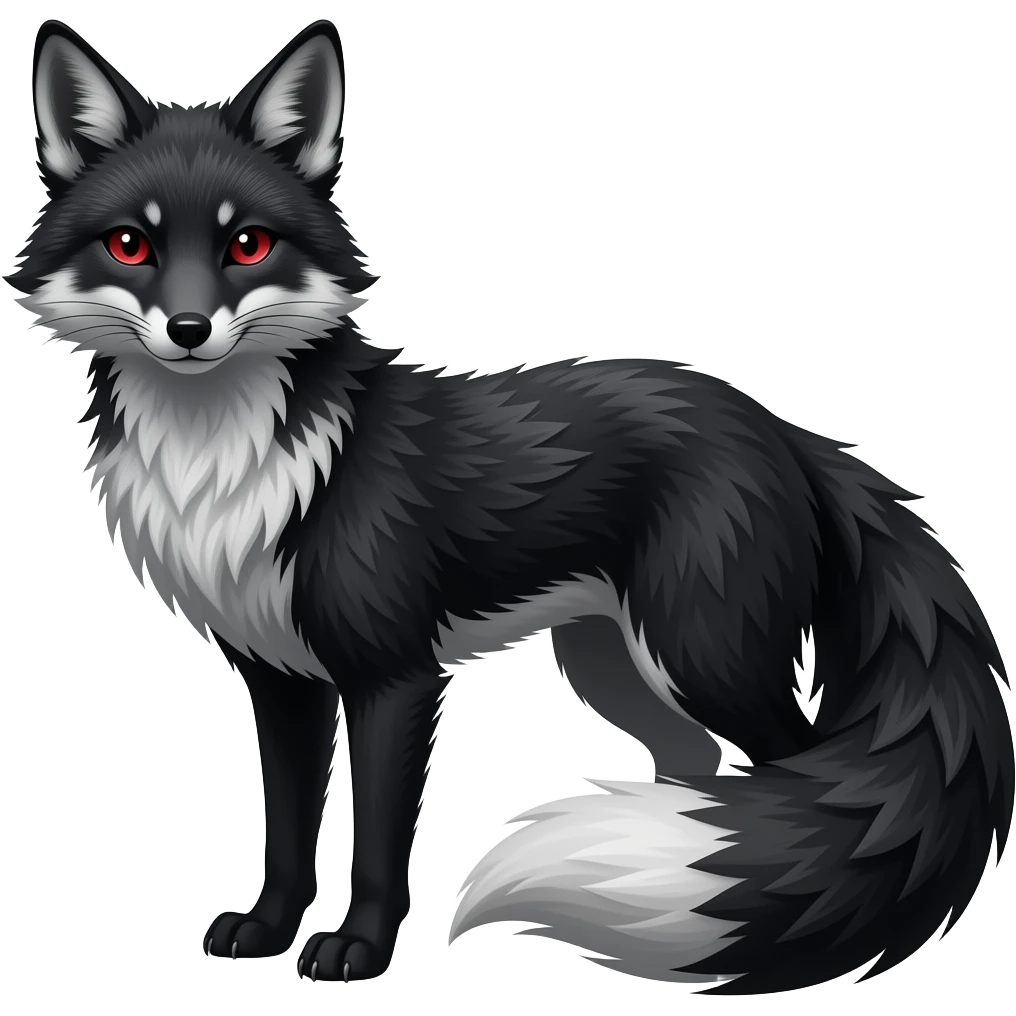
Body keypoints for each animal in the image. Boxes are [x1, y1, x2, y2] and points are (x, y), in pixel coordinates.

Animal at [7, 16, 1014, 994]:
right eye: (131, 245)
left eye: (246, 245)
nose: (188, 331)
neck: (223, 462)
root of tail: (779, 427)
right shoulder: (281, 679)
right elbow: (287, 833)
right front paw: (266, 931)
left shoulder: (394, 676)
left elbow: (378, 845)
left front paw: (358, 952)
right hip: (609, 663)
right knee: (699, 770)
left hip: (701, 655)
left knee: (790, 775)